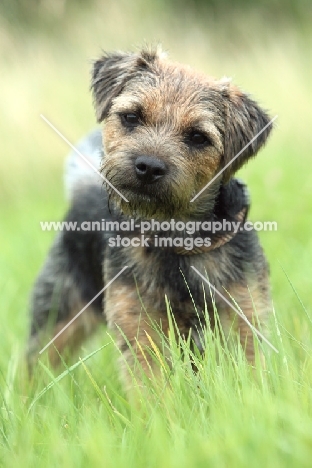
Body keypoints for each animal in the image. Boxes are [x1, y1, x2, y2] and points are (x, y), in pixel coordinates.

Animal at [28, 46, 272, 392]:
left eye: (198, 137)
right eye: (131, 117)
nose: (149, 166)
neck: (176, 237)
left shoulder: (243, 317)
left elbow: (249, 378)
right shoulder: (140, 329)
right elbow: (155, 391)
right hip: (57, 312)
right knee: (33, 366)